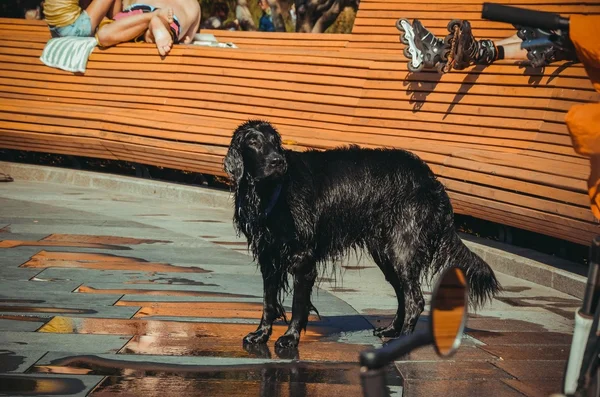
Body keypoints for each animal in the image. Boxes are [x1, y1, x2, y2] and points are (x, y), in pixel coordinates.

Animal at [223, 119, 500, 348]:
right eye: (253, 141)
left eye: (275, 142)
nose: (278, 161)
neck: (269, 192)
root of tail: (431, 178)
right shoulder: (268, 256)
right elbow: (268, 301)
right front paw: (260, 334)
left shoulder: (304, 259)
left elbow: (298, 304)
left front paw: (290, 338)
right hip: (384, 251)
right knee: (403, 294)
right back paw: (390, 330)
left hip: (402, 248)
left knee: (415, 299)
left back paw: (401, 339)